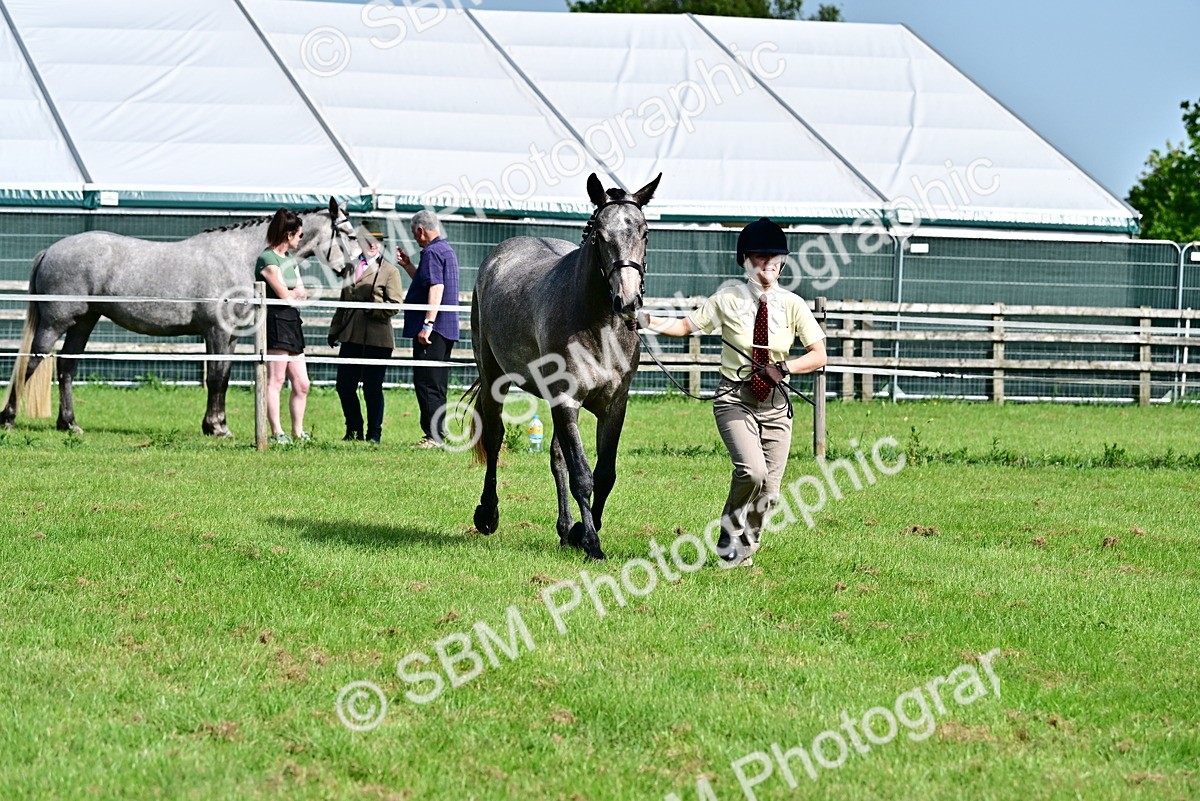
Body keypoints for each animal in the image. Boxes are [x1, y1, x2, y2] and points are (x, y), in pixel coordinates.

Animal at [0, 198, 362, 436]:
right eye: (350, 235)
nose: (359, 267)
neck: (238, 255)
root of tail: (50, 250)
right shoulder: (216, 332)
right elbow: (215, 378)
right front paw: (217, 428)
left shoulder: (229, 336)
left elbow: (223, 378)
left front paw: (217, 424)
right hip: (56, 323)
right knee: (30, 363)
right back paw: (9, 418)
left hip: (84, 322)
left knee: (66, 367)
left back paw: (69, 423)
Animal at [469, 173, 661, 561]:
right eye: (600, 236)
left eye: (644, 232)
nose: (627, 300)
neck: (600, 325)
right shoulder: (566, 401)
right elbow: (583, 476)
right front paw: (592, 543)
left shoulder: (614, 405)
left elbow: (604, 474)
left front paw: (579, 532)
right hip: (494, 376)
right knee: (495, 438)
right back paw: (488, 514)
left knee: (557, 457)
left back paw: (563, 528)